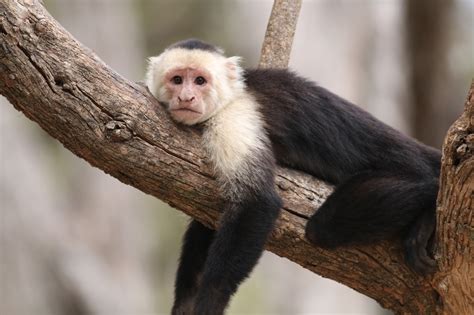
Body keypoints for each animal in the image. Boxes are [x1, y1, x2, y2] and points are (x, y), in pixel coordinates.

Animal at [145, 39, 440, 315]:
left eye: (200, 81)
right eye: (177, 80)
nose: (186, 97)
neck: (232, 97)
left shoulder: (234, 119)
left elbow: (258, 202)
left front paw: (210, 301)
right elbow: (206, 224)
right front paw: (186, 304)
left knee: (322, 228)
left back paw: (430, 197)